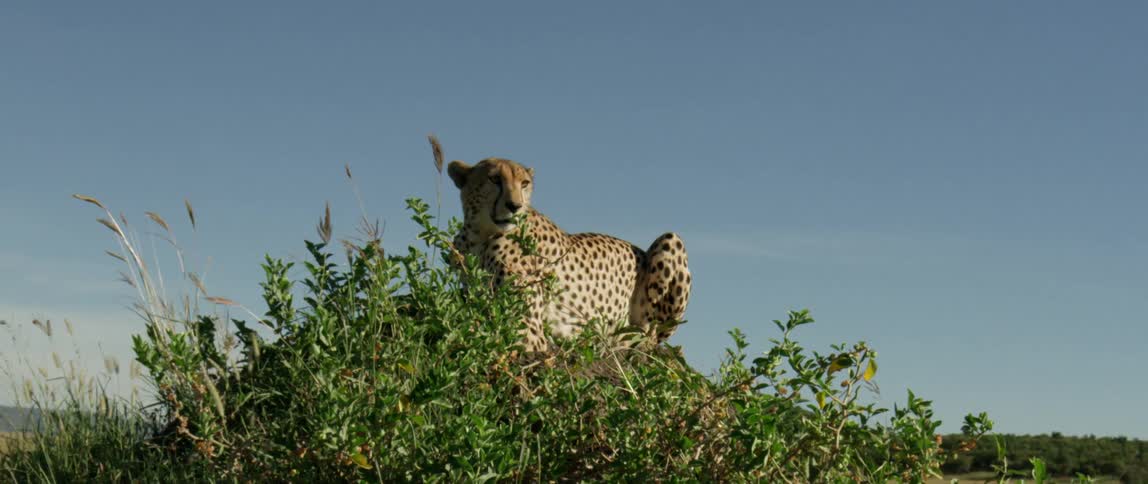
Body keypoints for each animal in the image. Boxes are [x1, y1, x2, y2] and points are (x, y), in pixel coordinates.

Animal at [448, 157, 691, 352]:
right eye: (494, 179)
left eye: (524, 184)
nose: (514, 206)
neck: (479, 236)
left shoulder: (528, 329)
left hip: (671, 240)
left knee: (650, 338)